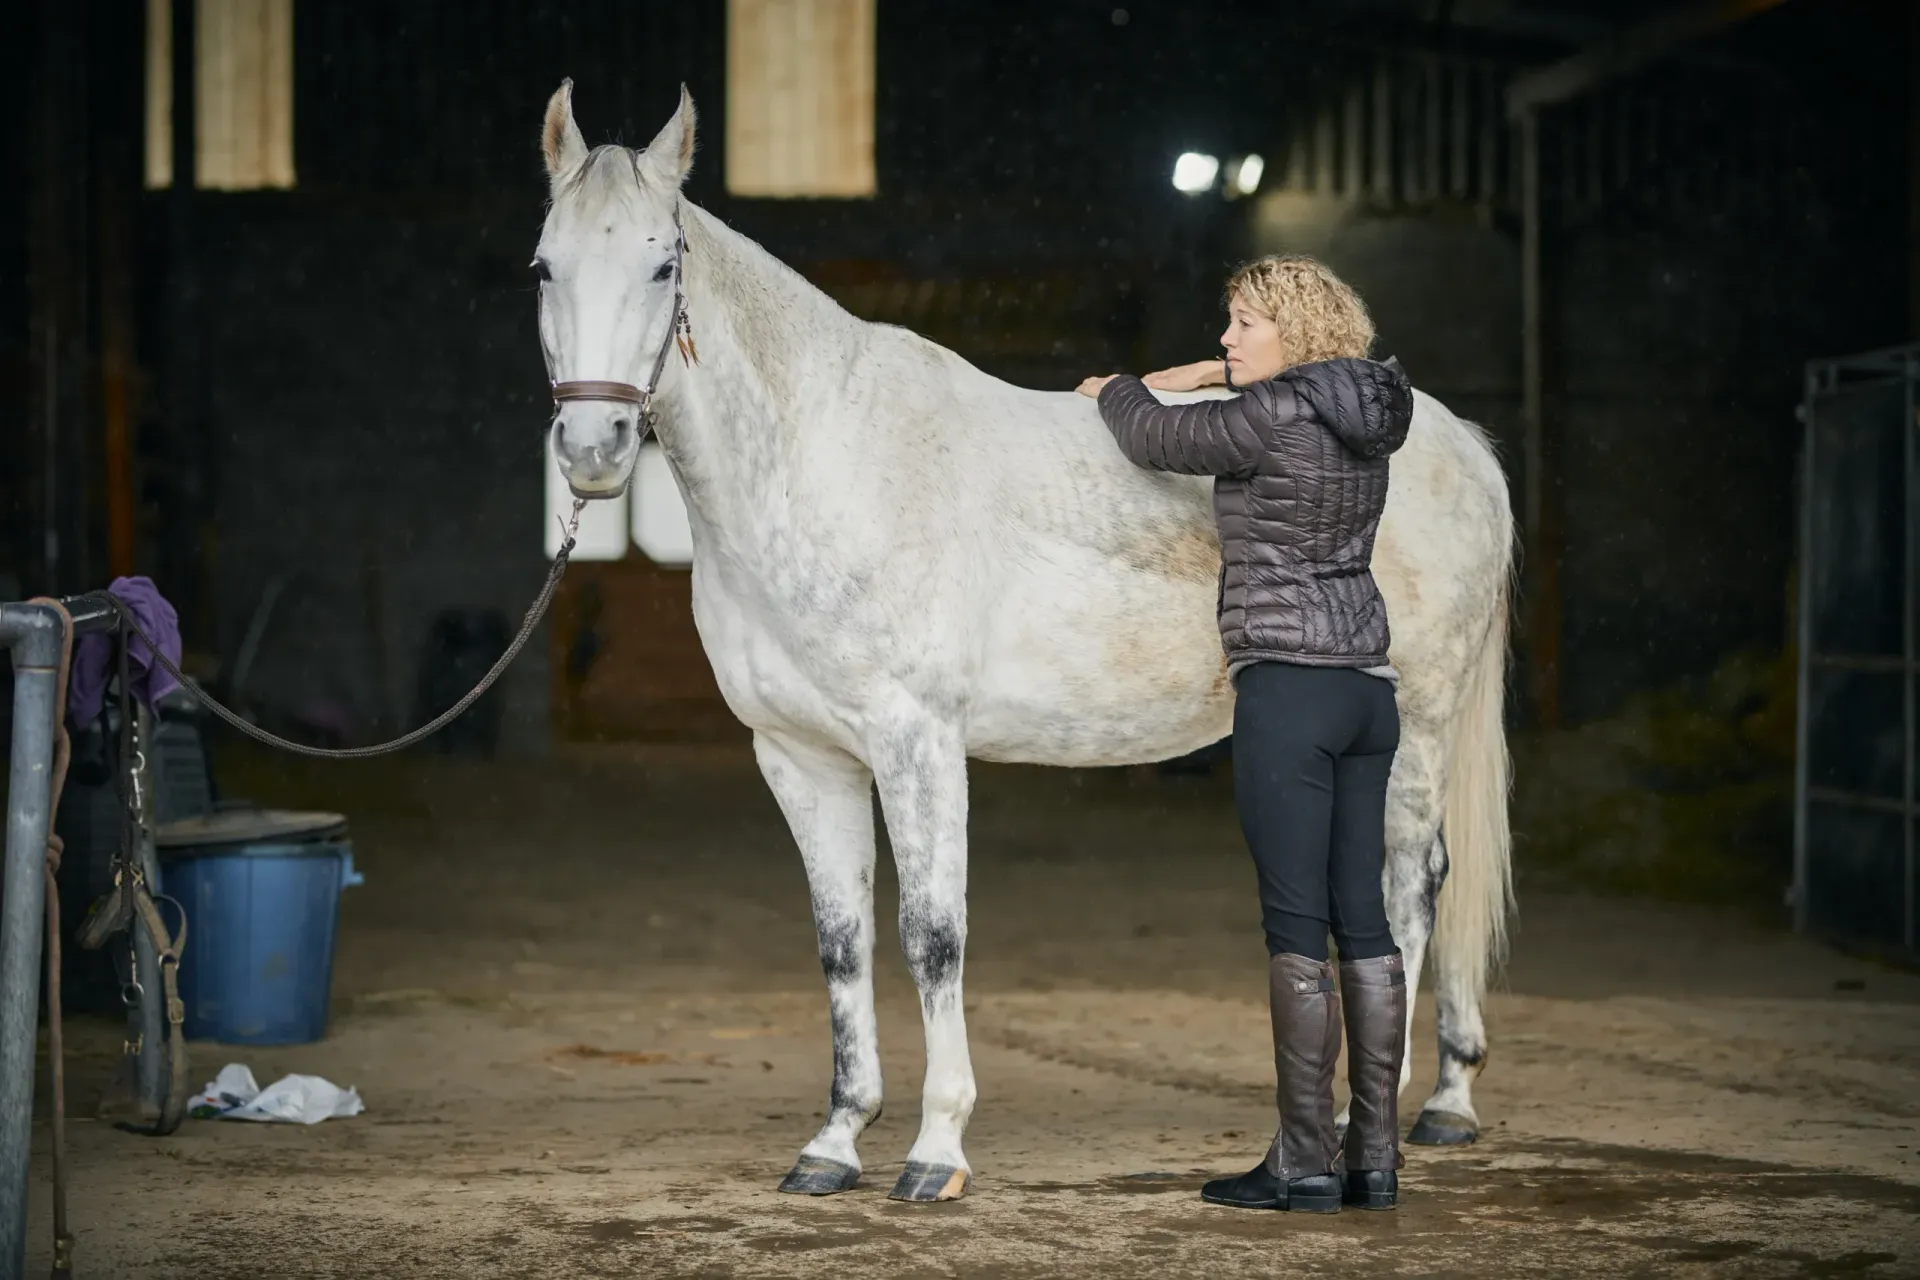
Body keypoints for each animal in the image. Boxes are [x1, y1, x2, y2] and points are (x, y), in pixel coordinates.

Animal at [533, 81, 1514, 1202]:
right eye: (544, 266)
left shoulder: (917, 742)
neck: (824, 458)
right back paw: (1435, 1103)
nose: (594, 451)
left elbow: (932, 935)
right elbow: (841, 942)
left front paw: (935, 1150)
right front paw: (834, 1142)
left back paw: (1383, 1113)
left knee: (1407, 889)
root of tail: (1463, 445)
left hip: (1419, 729)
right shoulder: (802, 756)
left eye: (663, 265)